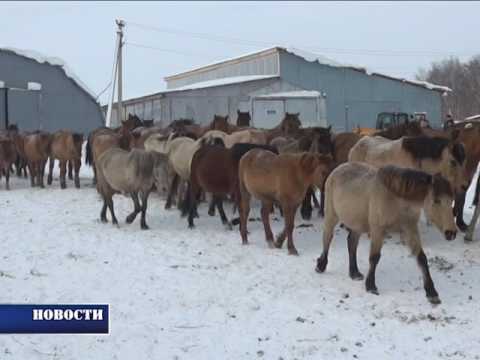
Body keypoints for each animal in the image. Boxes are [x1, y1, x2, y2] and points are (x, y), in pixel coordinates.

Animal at [316, 163, 456, 304]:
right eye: (436, 200)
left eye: (451, 201)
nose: (451, 233)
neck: (395, 200)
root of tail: (337, 169)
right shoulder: (378, 230)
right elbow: (374, 257)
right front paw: (371, 286)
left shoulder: (410, 229)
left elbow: (421, 258)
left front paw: (431, 292)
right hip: (331, 215)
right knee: (327, 237)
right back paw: (321, 265)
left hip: (357, 224)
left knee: (351, 243)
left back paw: (354, 273)